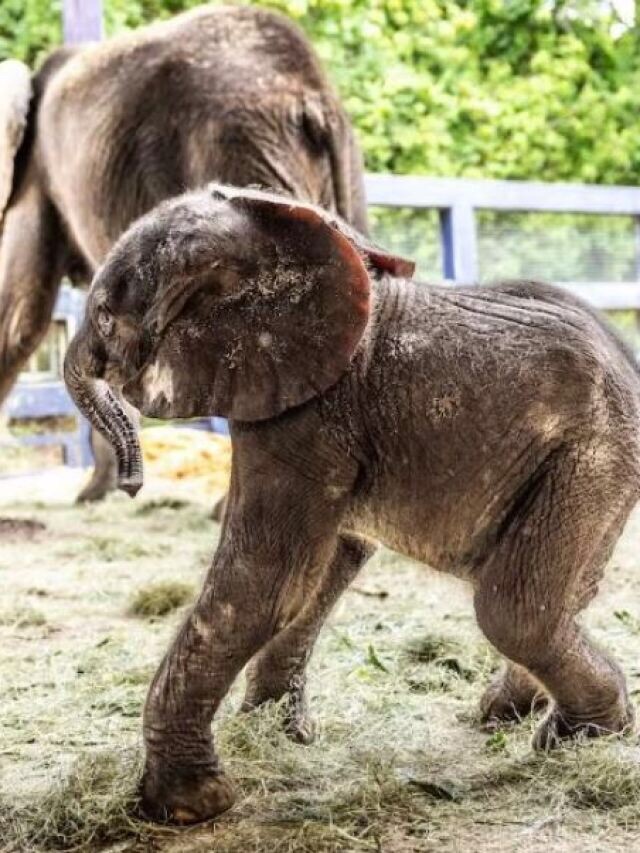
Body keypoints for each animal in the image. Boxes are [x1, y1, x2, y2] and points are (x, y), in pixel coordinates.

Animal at [0, 3, 367, 501]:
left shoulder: (36, 175)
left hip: (235, 147)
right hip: (338, 164)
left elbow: (20, 310)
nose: (130, 487)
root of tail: (311, 93)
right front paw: (100, 494)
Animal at [64, 183, 640, 824]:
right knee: (565, 593)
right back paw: (506, 712)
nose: (132, 486)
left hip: (590, 456)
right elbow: (323, 570)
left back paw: (579, 737)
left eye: (105, 316)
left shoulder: (307, 414)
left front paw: (187, 806)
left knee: (513, 608)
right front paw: (276, 736)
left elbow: (268, 582)